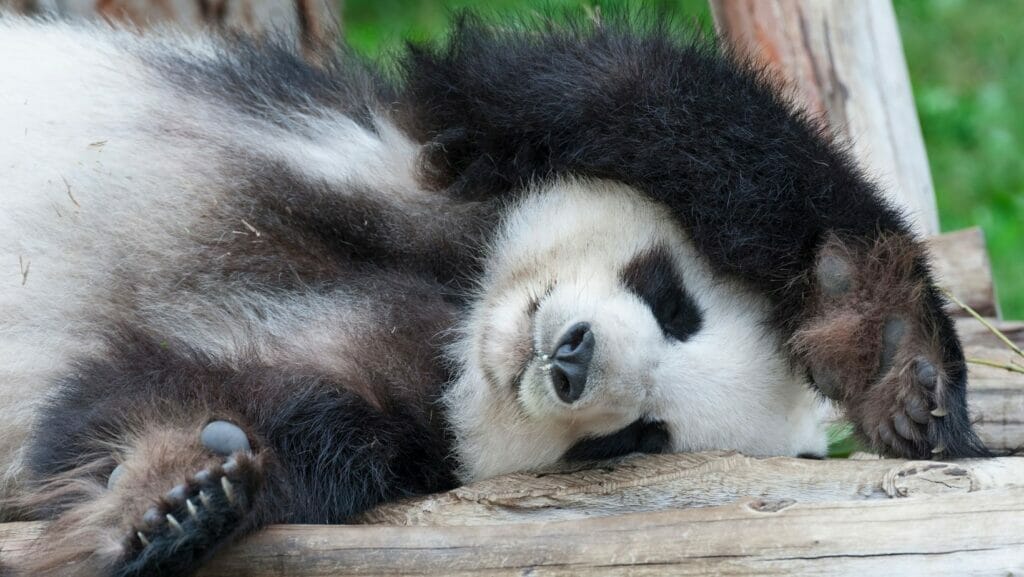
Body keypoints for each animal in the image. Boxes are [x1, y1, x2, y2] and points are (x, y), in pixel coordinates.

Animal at [0, 11, 987, 577]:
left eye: (636, 439)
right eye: (674, 304)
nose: (571, 359)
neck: (459, 313)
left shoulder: (397, 414)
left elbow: (173, 400)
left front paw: (174, 493)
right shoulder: (446, 147)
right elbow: (653, 102)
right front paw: (894, 352)